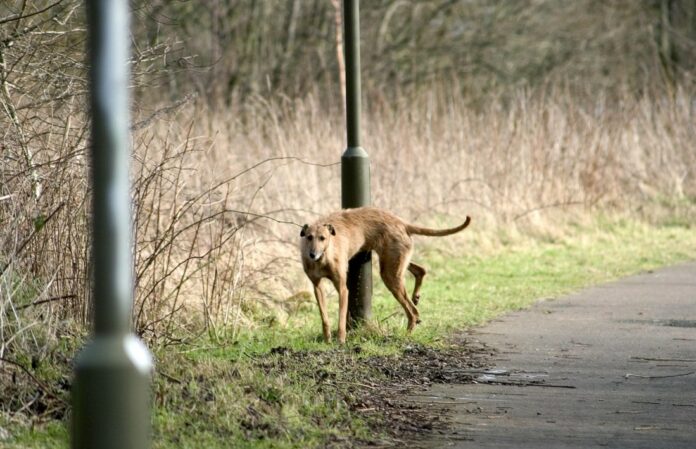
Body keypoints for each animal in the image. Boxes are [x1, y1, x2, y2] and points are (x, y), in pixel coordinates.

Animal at [300, 206, 474, 344]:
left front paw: (341, 340)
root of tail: (402, 222)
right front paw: (327, 339)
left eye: (323, 238)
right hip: (396, 263)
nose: (312, 255)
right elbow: (324, 317)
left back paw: (406, 335)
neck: (324, 258)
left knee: (413, 312)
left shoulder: (343, 288)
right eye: (309, 237)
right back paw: (416, 297)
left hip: (390, 273)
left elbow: (342, 318)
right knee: (421, 271)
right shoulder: (317, 287)